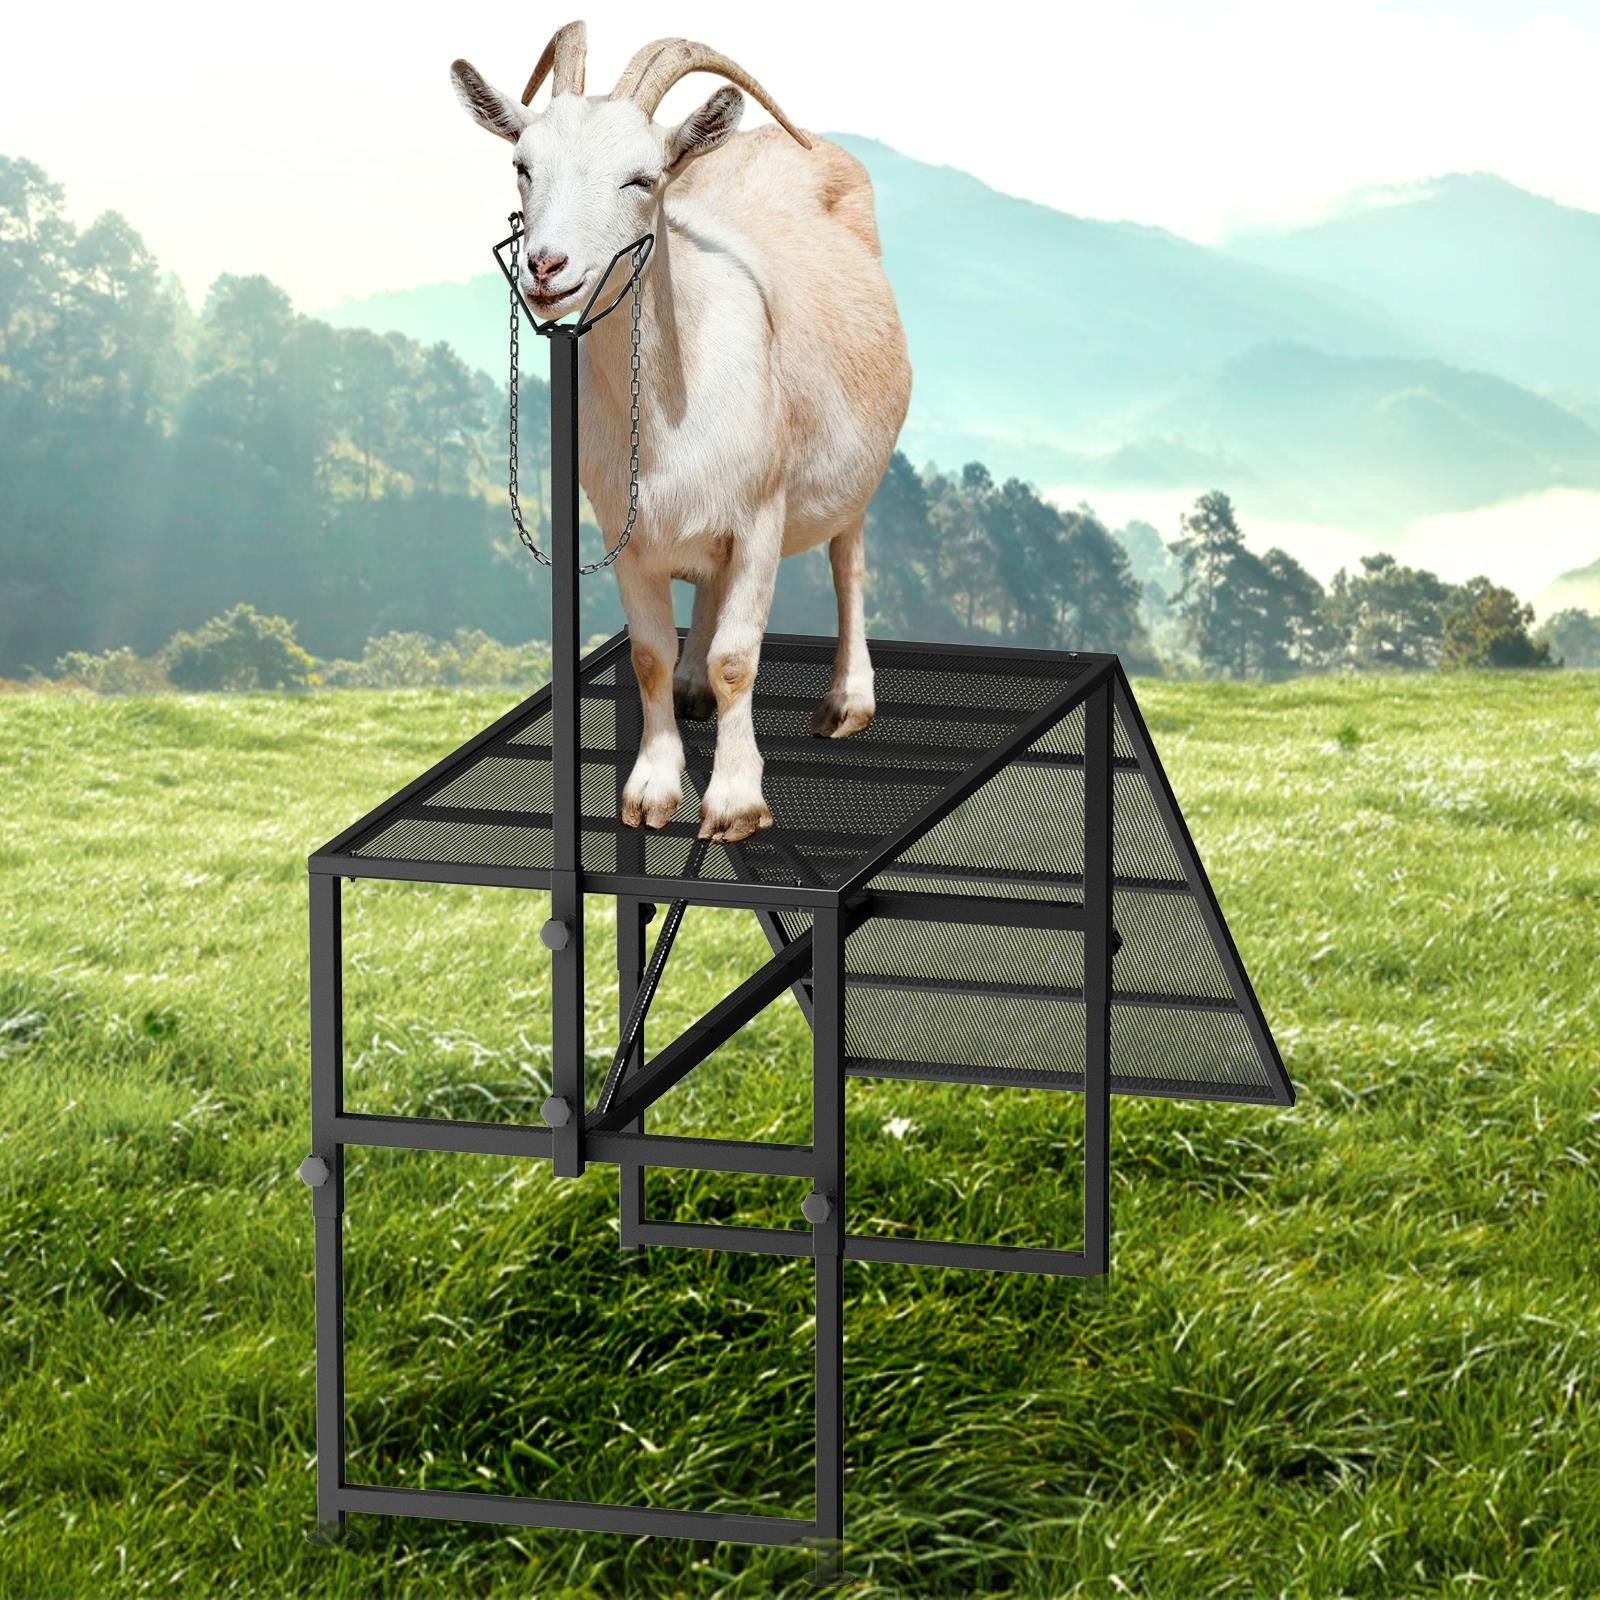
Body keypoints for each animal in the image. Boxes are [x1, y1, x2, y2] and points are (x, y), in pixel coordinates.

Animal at [451, 23, 911, 842]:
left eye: (642, 178)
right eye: (521, 166)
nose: (545, 266)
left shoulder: (761, 516)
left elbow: (739, 658)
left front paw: (732, 804)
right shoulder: (623, 528)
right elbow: (648, 656)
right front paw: (651, 791)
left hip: (854, 474)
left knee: (848, 559)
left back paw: (846, 702)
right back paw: (696, 692)